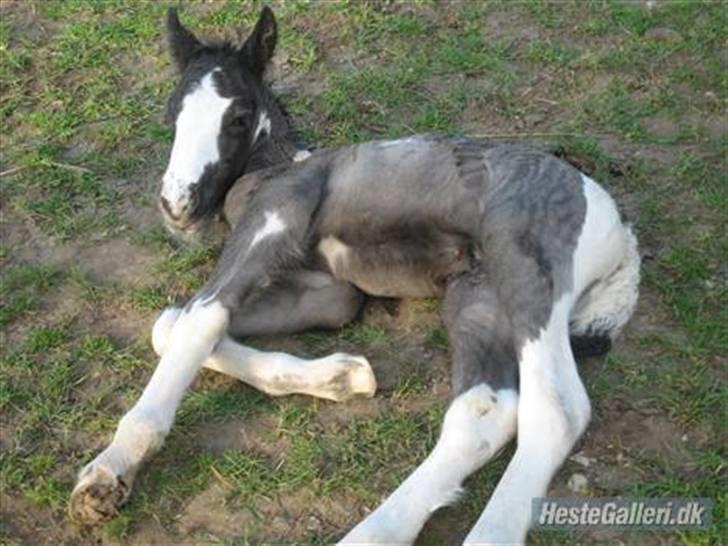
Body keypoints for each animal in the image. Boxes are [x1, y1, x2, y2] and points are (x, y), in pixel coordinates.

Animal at [69, 6, 636, 540]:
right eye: (173, 114)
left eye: (238, 116)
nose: (177, 205)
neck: (278, 166)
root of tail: (622, 237)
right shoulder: (329, 292)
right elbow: (169, 324)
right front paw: (342, 376)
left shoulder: (274, 222)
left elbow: (198, 322)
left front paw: (108, 472)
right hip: (478, 296)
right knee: (484, 411)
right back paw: (376, 532)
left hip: (526, 268)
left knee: (556, 409)